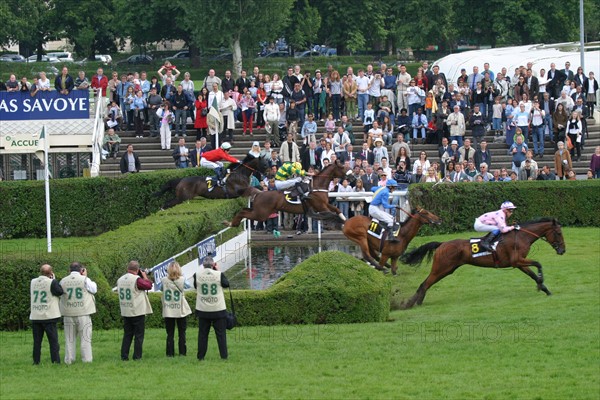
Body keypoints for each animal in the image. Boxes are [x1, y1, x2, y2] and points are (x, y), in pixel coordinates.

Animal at [400, 219, 564, 310]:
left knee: (426, 284)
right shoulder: (517, 260)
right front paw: (541, 283)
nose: (563, 250)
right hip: (441, 268)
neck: (521, 236)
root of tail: (442, 244)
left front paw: (545, 289)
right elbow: (538, 264)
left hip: (447, 269)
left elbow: (533, 274)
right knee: (425, 284)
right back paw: (411, 304)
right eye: (558, 233)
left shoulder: (519, 263)